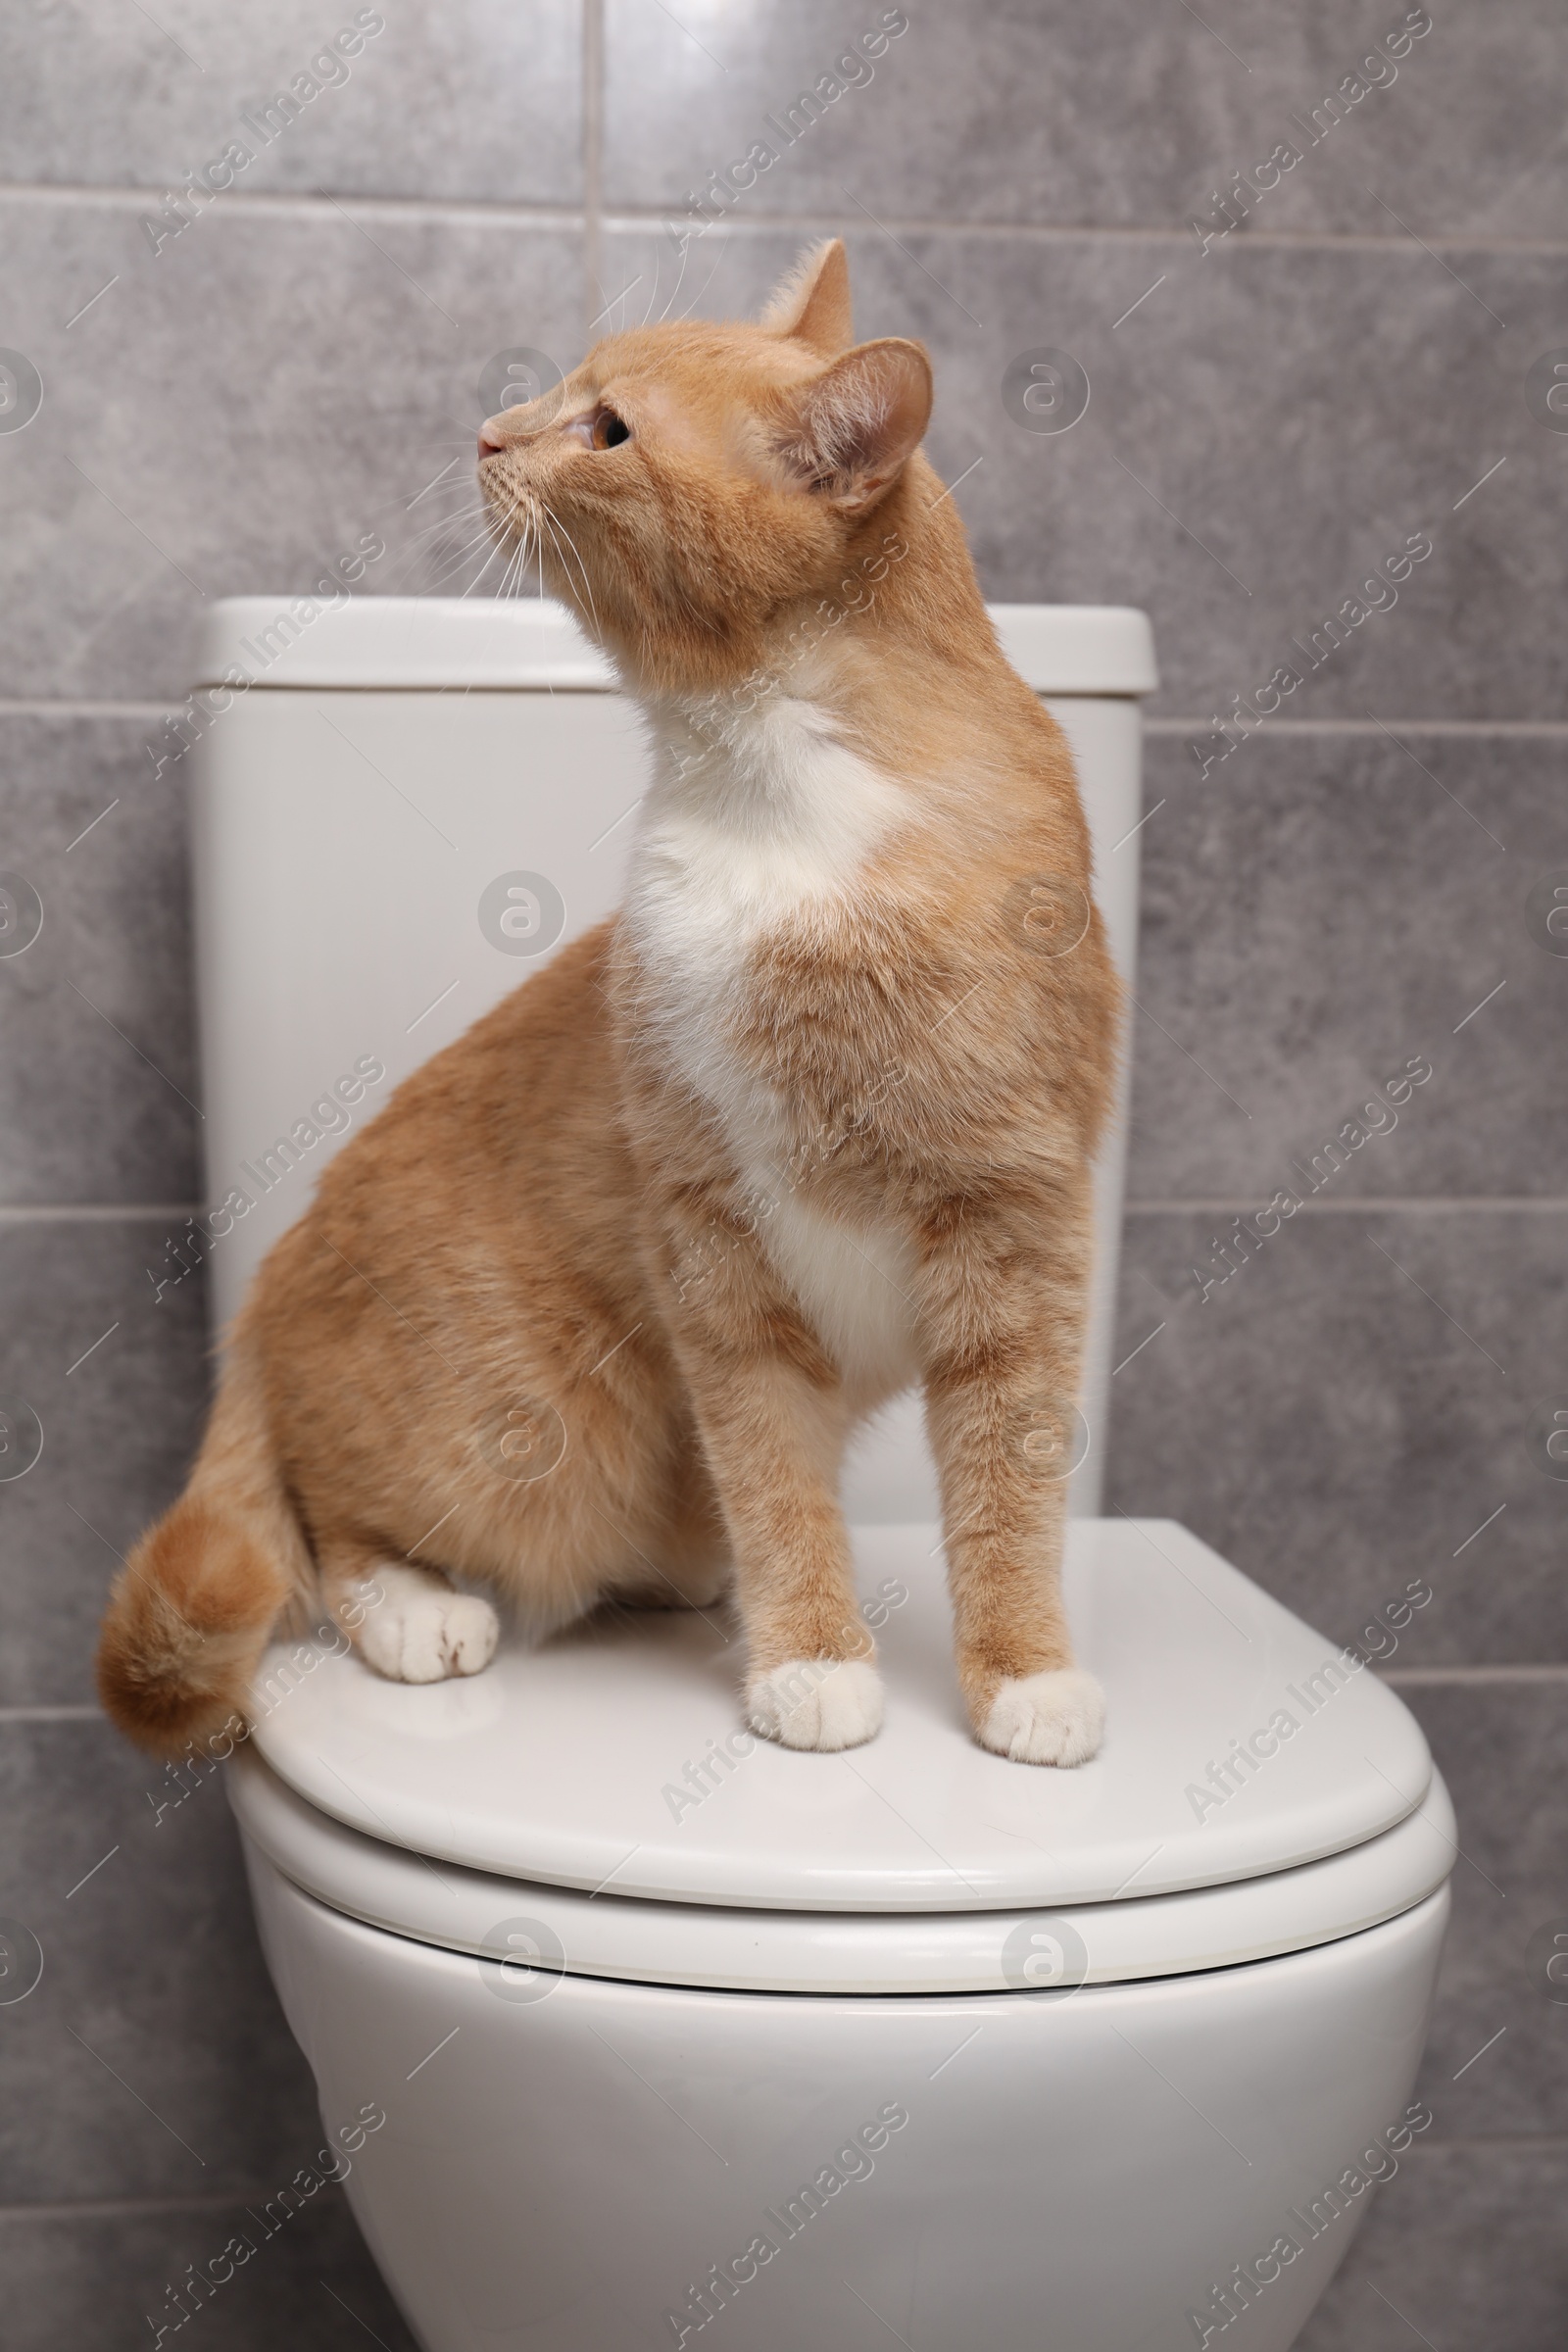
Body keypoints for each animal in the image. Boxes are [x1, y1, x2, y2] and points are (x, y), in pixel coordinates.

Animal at [98, 248, 1123, 1768]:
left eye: (610, 430)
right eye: (561, 397)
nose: (486, 434)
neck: (777, 797)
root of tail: (264, 1309)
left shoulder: (1015, 1218)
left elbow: (1011, 1480)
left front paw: (1023, 1676)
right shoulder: (710, 1227)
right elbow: (773, 1471)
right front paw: (812, 1657)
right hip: (533, 1427)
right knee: (325, 1524)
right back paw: (417, 1611)